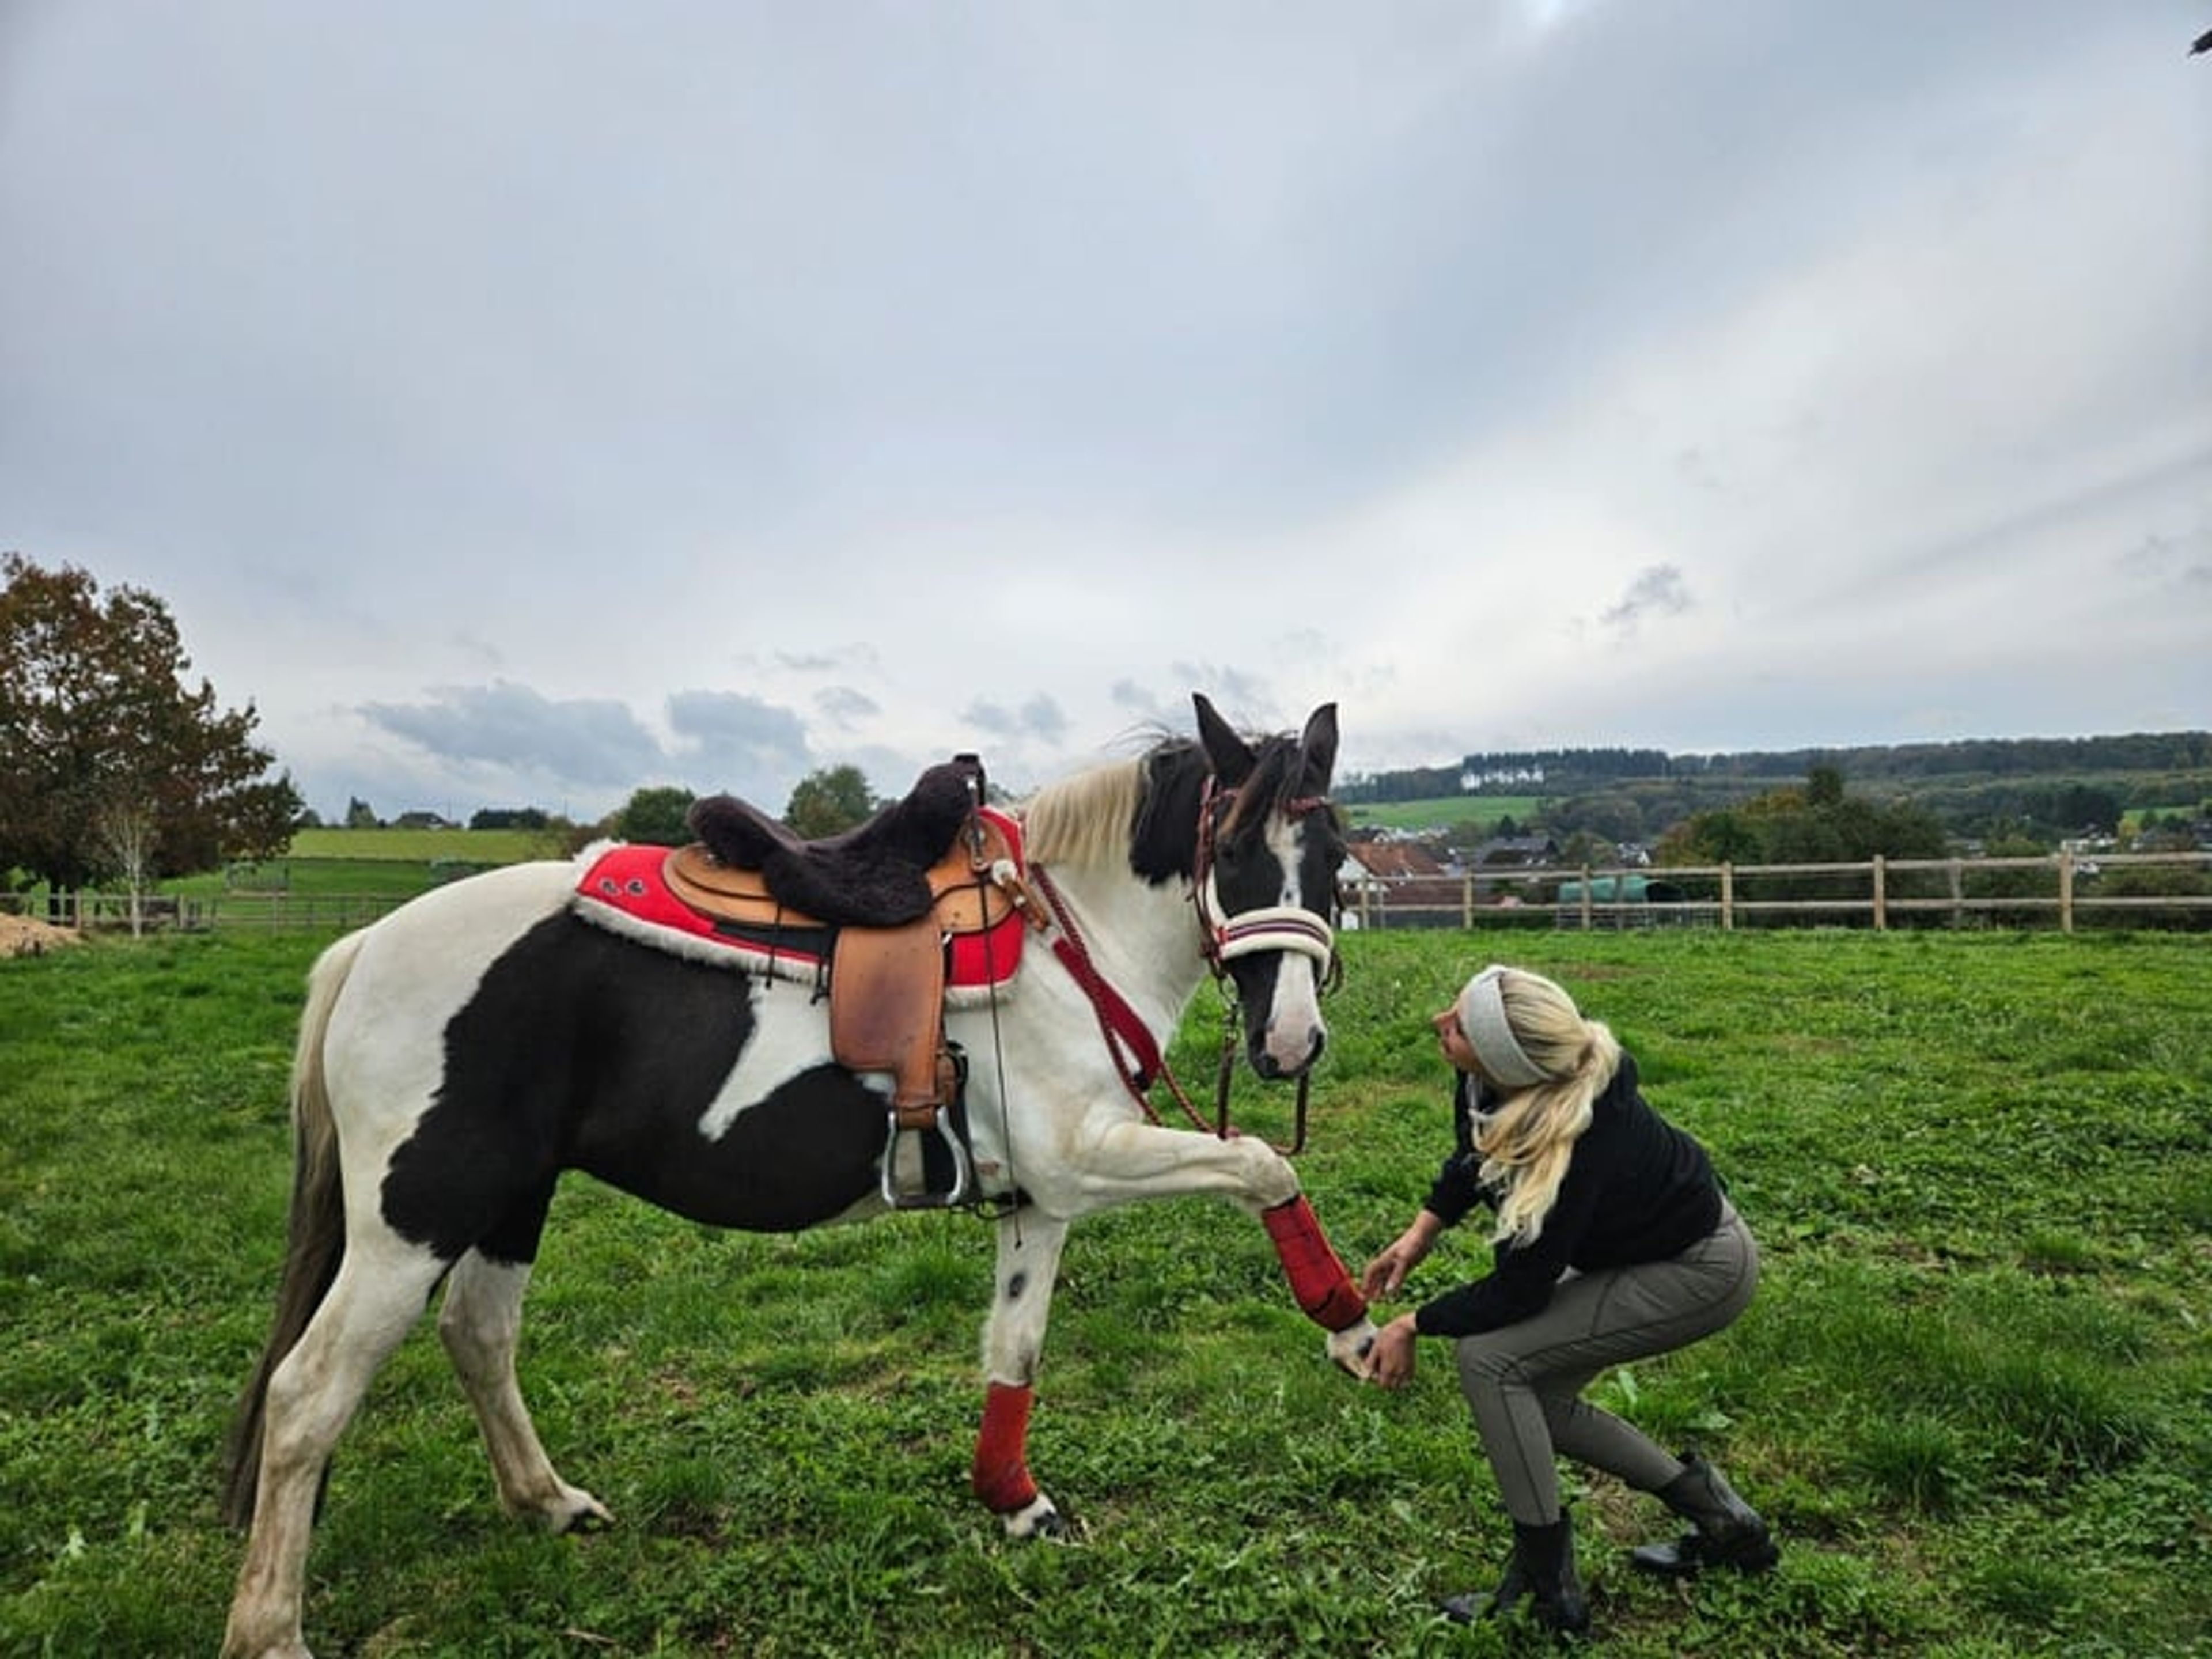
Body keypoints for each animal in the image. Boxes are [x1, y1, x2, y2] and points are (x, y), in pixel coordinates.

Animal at [218, 694, 1378, 1659]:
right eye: (1234, 849)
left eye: (1330, 852)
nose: (1290, 1042)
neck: (1067, 938)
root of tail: (365, 948)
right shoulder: (1085, 1157)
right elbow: (1262, 1167)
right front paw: (1353, 1326)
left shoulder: (1039, 1198)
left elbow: (1016, 1348)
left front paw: (1012, 1499)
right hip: (416, 1216)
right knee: (308, 1397)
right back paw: (269, 1632)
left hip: (509, 1197)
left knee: (478, 1336)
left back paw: (547, 1502)